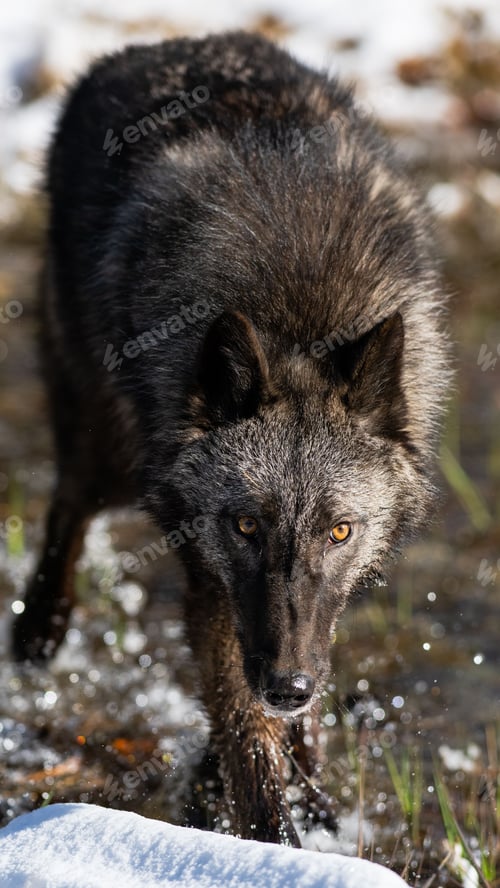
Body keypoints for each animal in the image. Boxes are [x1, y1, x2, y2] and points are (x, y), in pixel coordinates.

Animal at [12, 31, 449, 845]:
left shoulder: (303, 620)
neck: (301, 323)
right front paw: (279, 845)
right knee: (68, 505)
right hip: (107, 447)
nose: (289, 686)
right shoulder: (212, 582)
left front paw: (298, 797)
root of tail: (165, 43)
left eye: (341, 531)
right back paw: (37, 636)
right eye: (245, 525)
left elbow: (281, 708)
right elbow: (249, 739)